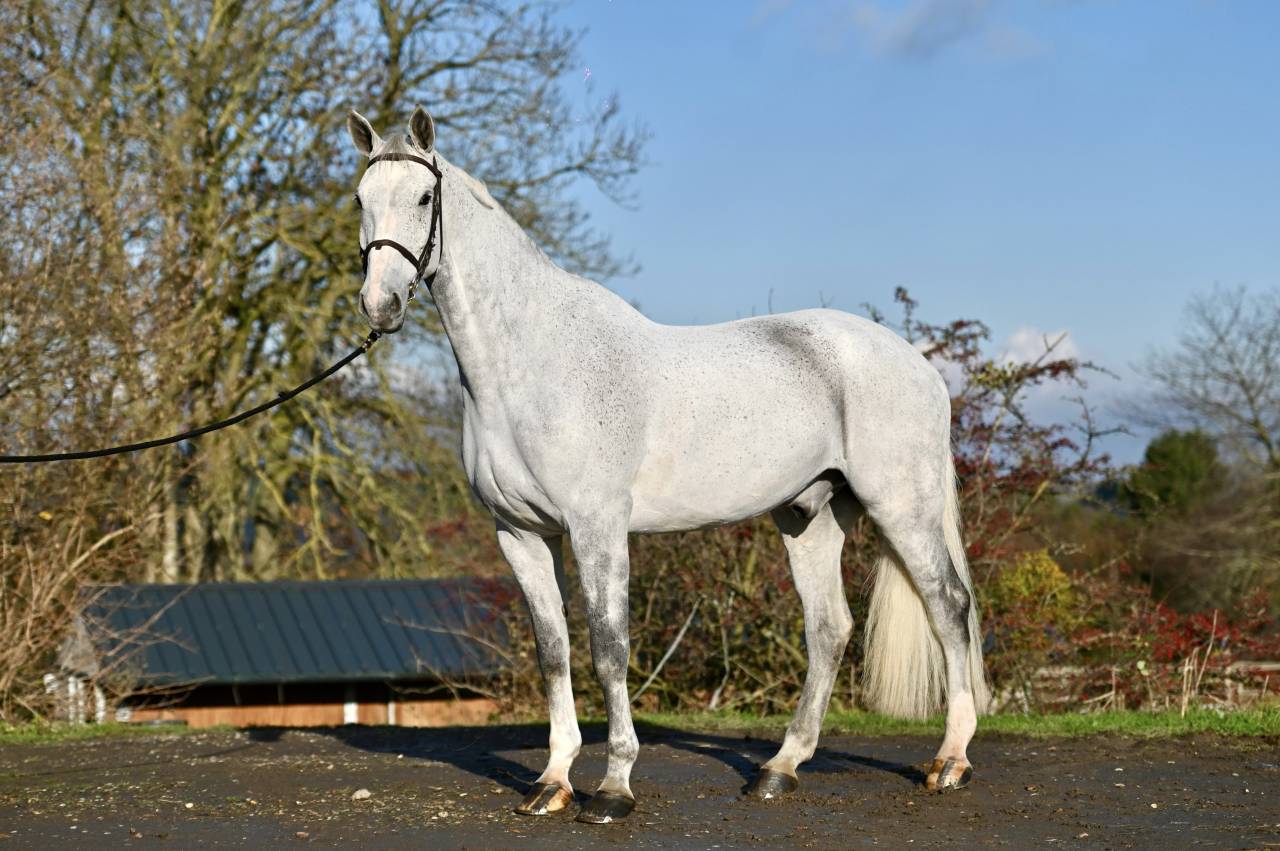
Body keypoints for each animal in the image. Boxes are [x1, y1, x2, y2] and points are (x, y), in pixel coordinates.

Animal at [347, 105, 992, 824]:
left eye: (422, 198)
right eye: (360, 201)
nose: (380, 305)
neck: (532, 363)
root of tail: (917, 366)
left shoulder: (597, 528)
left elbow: (609, 649)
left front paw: (613, 787)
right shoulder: (519, 533)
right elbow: (553, 651)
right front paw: (552, 781)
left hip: (900, 506)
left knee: (949, 607)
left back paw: (951, 761)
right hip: (810, 515)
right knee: (829, 628)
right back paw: (780, 768)